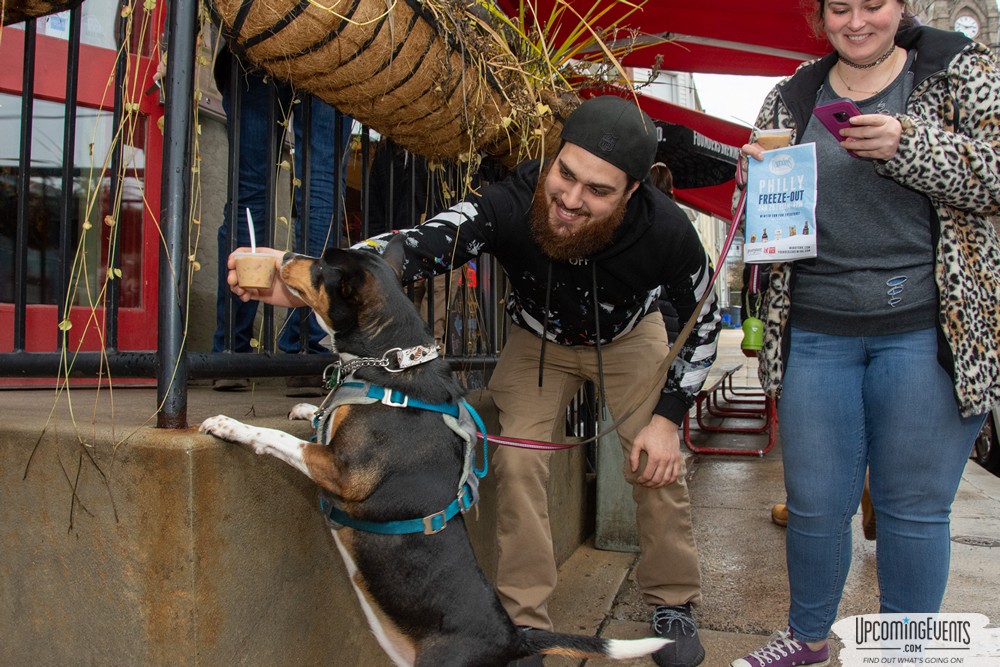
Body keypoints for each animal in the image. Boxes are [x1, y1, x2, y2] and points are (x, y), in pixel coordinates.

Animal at [199, 237, 668, 664]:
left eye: (320, 267)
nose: (286, 255)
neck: (389, 364)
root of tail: (511, 638)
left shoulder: (342, 470)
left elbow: (278, 438)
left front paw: (230, 425)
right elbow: (317, 419)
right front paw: (306, 409)